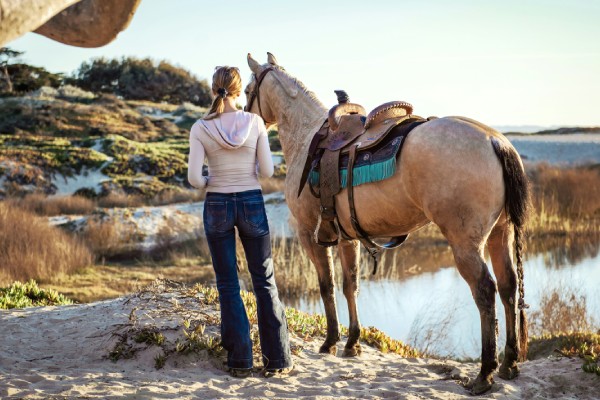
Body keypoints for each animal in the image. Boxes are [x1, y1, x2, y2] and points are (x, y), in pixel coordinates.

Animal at [244, 50, 528, 394]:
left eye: (247, 91)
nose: (246, 119)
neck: (307, 136)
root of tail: (495, 141)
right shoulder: (347, 237)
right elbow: (351, 284)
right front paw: (352, 343)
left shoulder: (309, 233)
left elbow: (326, 285)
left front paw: (330, 342)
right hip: (501, 233)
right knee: (508, 286)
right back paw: (509, 363)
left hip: (466, 244)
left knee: (485, 291)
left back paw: (485, 373)